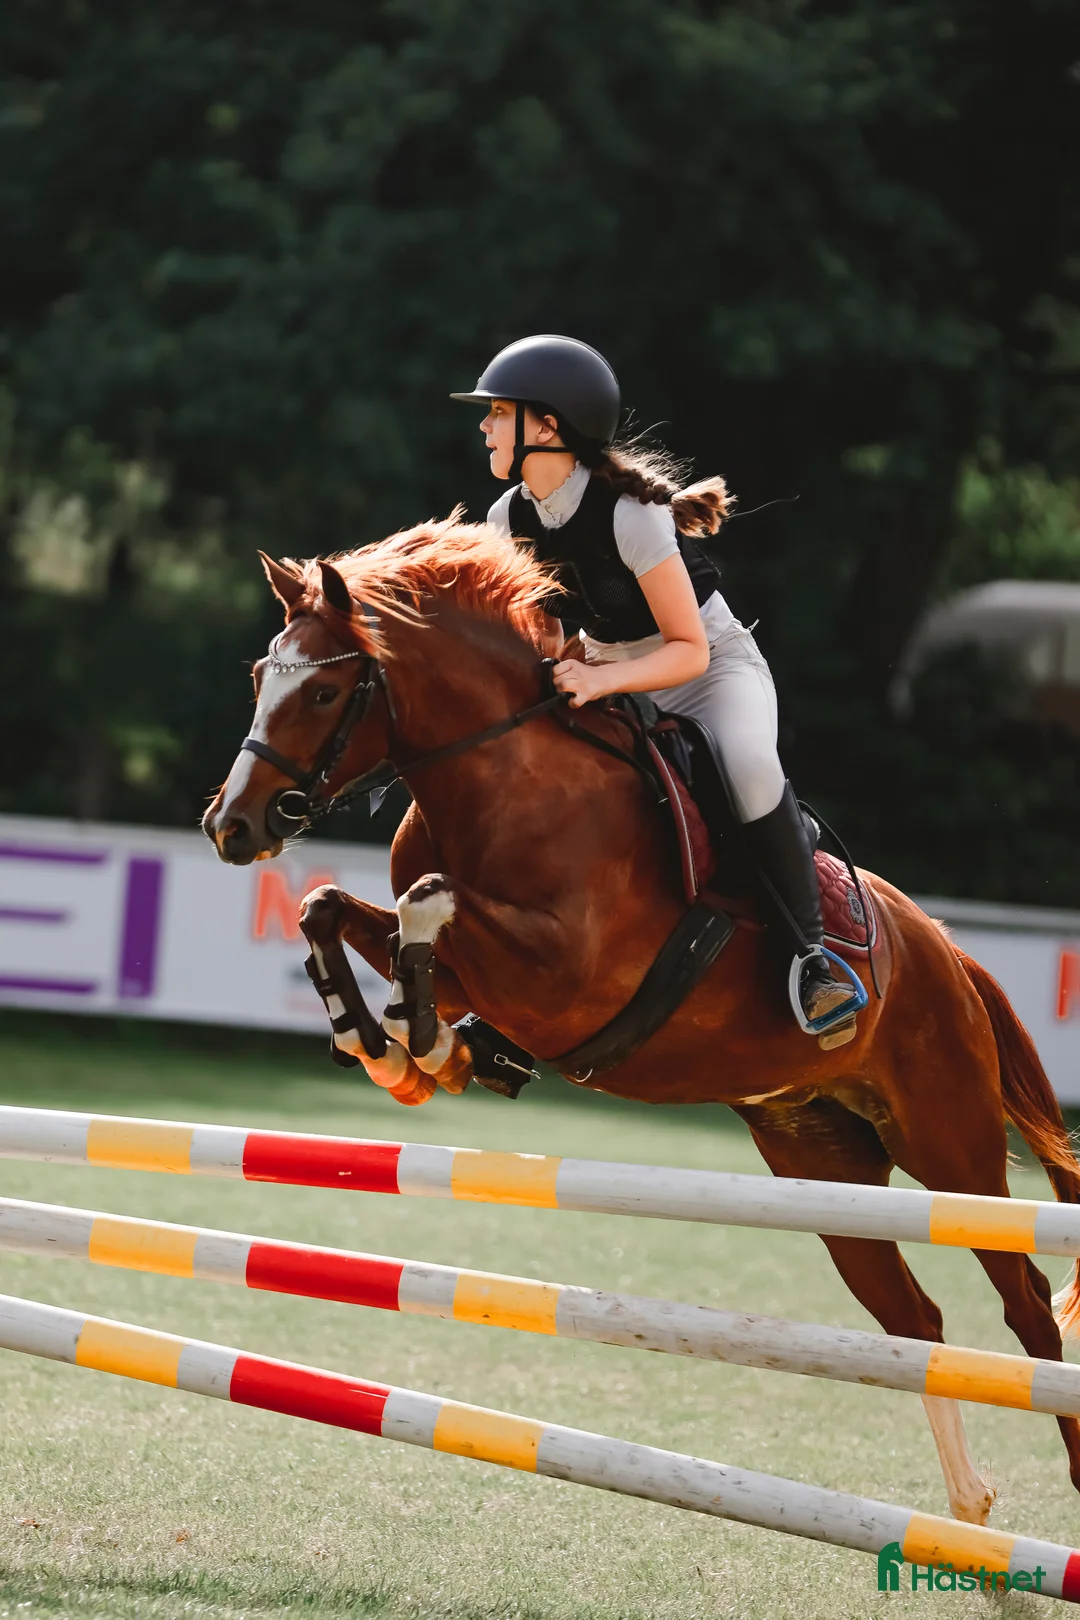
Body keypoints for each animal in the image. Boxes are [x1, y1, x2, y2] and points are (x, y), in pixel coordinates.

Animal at [203, 513, 1080, 1525]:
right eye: (260, 675)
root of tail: (947, 951)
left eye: (324, 688)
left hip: (952, 1148)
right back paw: (968, 1509)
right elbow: (329, 910)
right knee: (914, 1320)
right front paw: (397, 1049)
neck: (500, 773)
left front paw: (422, 1048)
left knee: (1024, 1301)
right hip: (824, 1164)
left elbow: (431, 904)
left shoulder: (564, 977)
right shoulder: (475, 973)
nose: (231, 826)